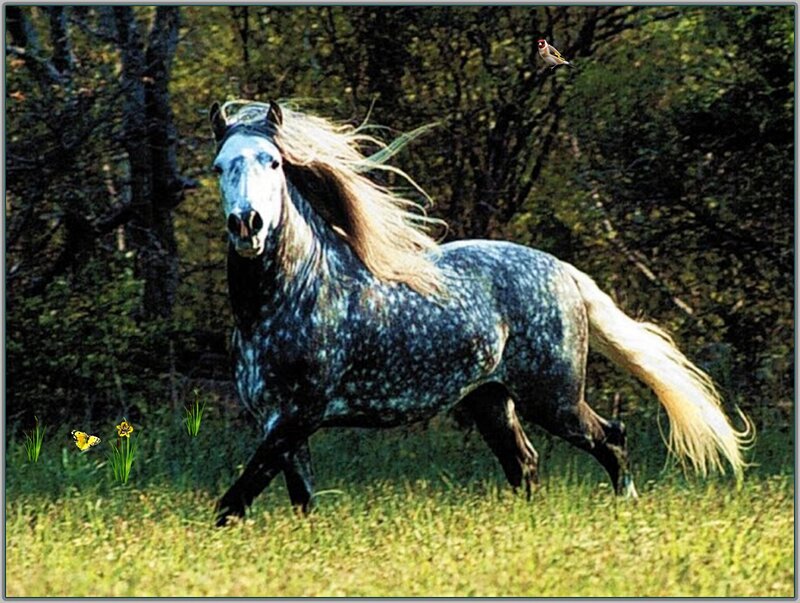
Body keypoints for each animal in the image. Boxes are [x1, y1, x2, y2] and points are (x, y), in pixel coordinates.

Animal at [208, 100, 751, 526]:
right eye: (218, 166)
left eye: (274, 162)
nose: (247, 224)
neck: (292, 297)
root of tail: (564, 271)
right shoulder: (281, 423)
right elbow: (299, 499)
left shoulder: (298, 416)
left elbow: (233, 501)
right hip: (491, 400)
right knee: (524, 463)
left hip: (552, 398)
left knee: (609, 439)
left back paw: (626, 508)